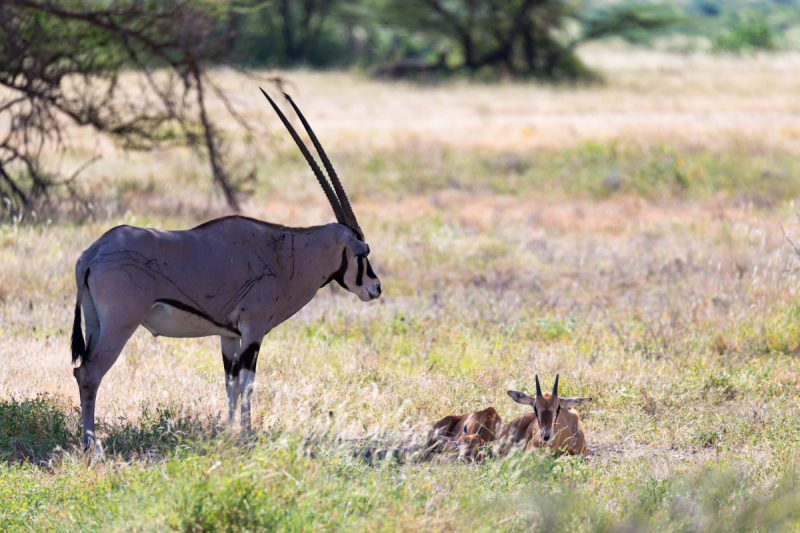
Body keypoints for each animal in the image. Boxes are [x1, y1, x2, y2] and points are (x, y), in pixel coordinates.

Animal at [69, 90, 382, 448]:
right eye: (362, 251)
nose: (376, 287)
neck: (287, 253)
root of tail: (93, 254)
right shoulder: (253, 330)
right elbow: (247, 383)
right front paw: (247, 436)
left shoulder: (229, 336)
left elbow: (229, 383)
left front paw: (229, 433)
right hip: (120, 325)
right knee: (89, 373)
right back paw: (92, 446)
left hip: (95, 322)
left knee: (82, 370)